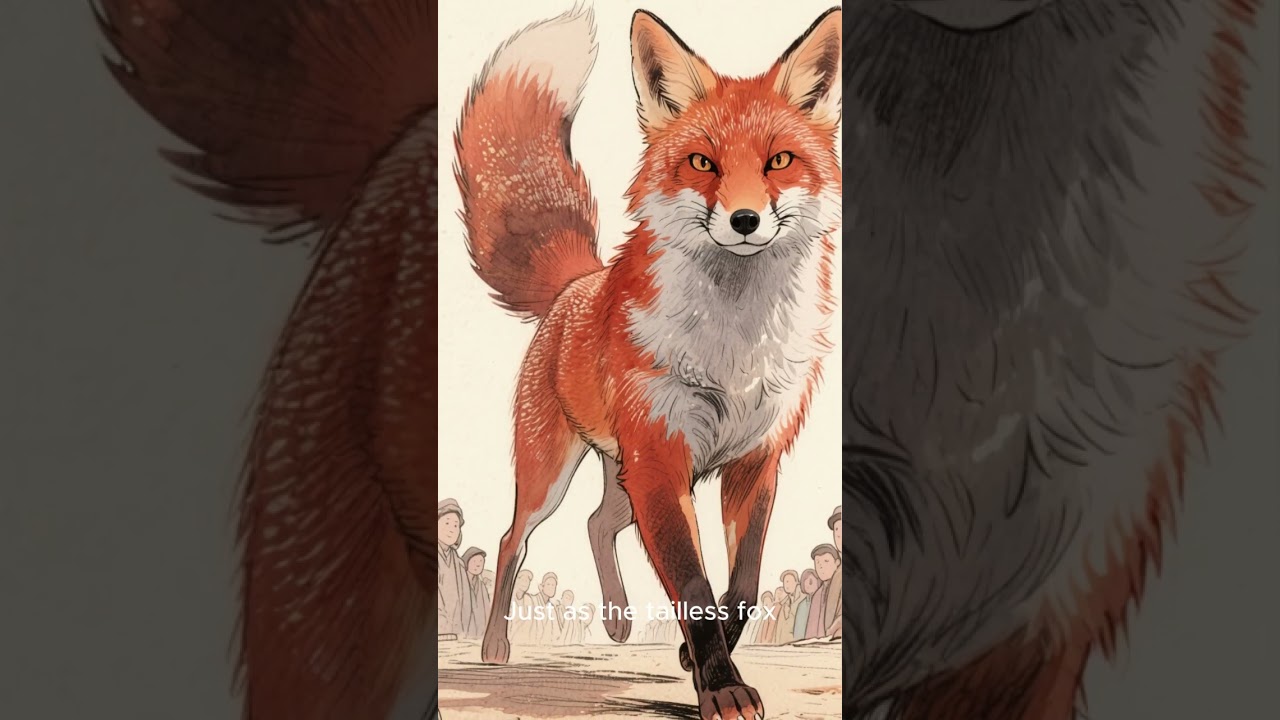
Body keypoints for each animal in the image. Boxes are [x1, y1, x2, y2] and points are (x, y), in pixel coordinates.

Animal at [453, 6, 841, 719]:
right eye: (701, 162)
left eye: (779, 160)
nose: (745, 220)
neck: (734, 345)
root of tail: (578, 283)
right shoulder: (662, 460)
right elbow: (693, 584)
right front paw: (720, 686)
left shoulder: (755, 461)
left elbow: (741, 586)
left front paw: (698, 659)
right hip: (556, 471)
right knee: (512, 539)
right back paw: (495, 645)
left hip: (623, 478)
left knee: (595, 523)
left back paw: (617, 619)